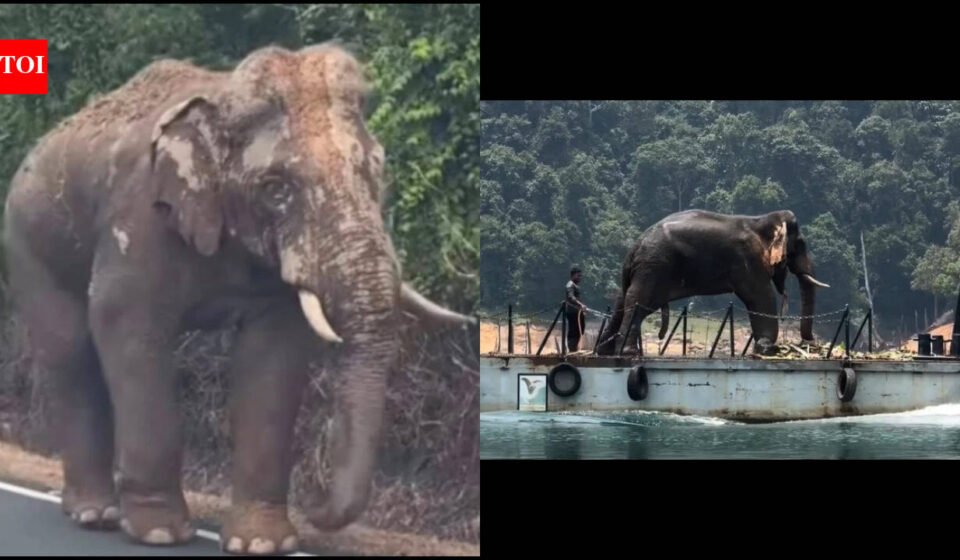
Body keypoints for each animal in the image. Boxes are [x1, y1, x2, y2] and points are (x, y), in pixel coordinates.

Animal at [2, 44, 475, 554]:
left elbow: (273, 353)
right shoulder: (138, 218)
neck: (222, 99)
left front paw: (262, 543)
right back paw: (95, 514)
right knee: (69, 353)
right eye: (276, 188)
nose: (315, 504)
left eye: (376, 169)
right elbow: (125, 324)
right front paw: (159, 532)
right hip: (29, 241)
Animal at [595, 209, 829, 356]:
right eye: (798, 244)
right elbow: (760, 296)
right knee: (638, 301)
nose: (811, 344)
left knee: (622, 299)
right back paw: (627, 352)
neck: (761, 220)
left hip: (640, 270)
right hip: (654, 268)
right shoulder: (748, 260)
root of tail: (636, 245)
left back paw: (604, 351)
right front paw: (769, 350)